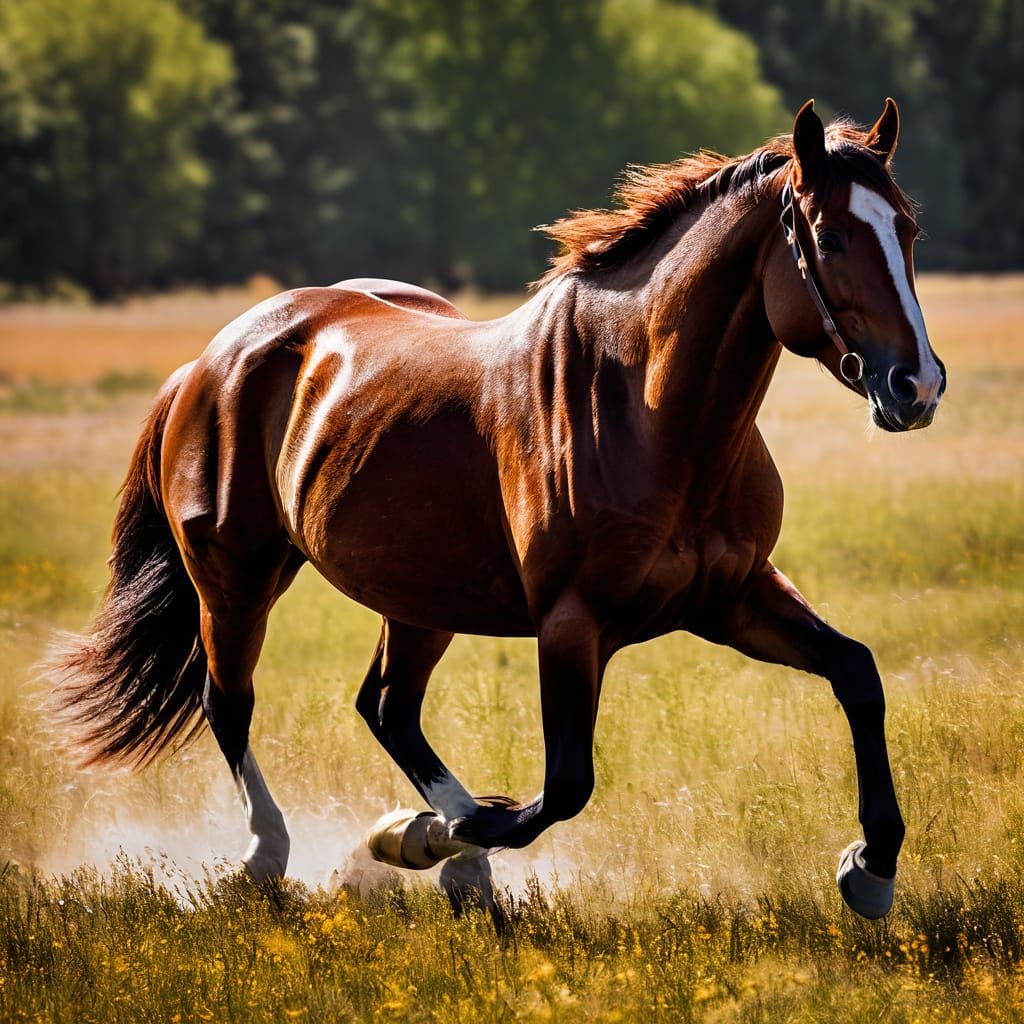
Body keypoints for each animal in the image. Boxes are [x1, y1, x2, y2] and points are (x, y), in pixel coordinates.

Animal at [51, 98, 945, 923]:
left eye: (907, 230)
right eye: (830, 238)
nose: (917, 386)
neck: (649, 412)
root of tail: (214, 360)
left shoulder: (732, 597)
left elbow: (858, 674)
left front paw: (871, 866)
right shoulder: (572, 623)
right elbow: (562, 788)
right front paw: (418, 837)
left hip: (416, 602)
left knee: (387, 708)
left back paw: (450, 855)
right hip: (238, 579)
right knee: (230, 702)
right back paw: (278, 858)